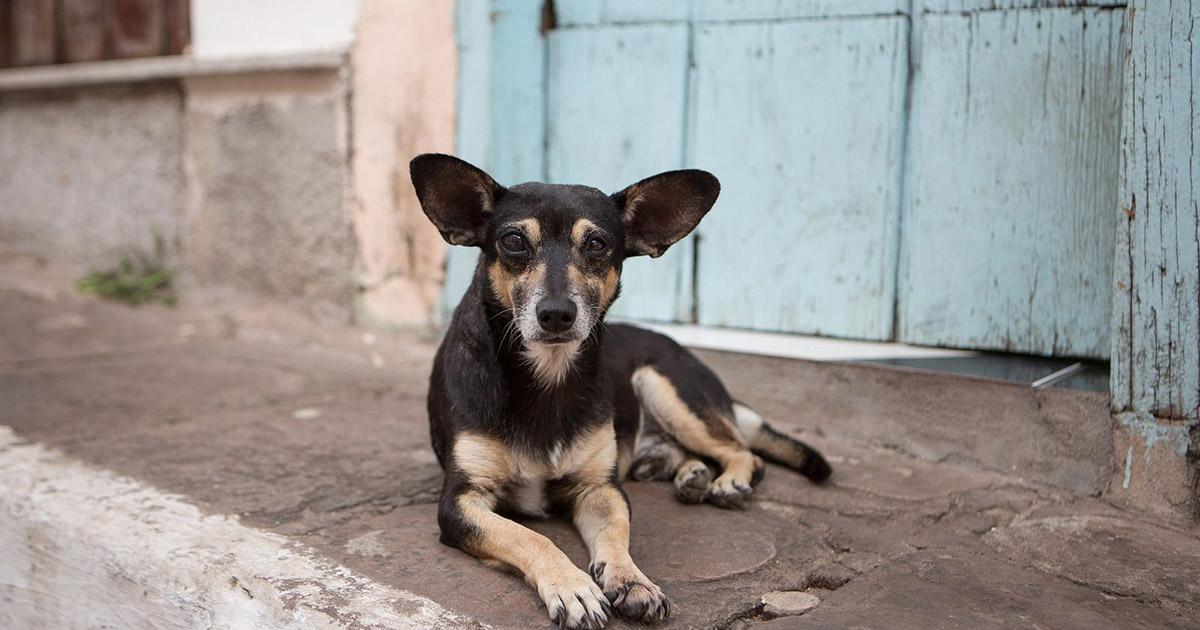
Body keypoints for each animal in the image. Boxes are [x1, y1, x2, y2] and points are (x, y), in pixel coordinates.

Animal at [408, 153, 830, 628]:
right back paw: (693, 476)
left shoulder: (600, 488)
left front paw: (632, 580)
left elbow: (617, 532)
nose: (557, 313)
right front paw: (573, 586)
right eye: (514, 241)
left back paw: (728, 480)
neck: (548, 377)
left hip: (665, 387)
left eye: (597, 244)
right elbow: (529, 536)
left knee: (743, 451)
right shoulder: (461, 501)